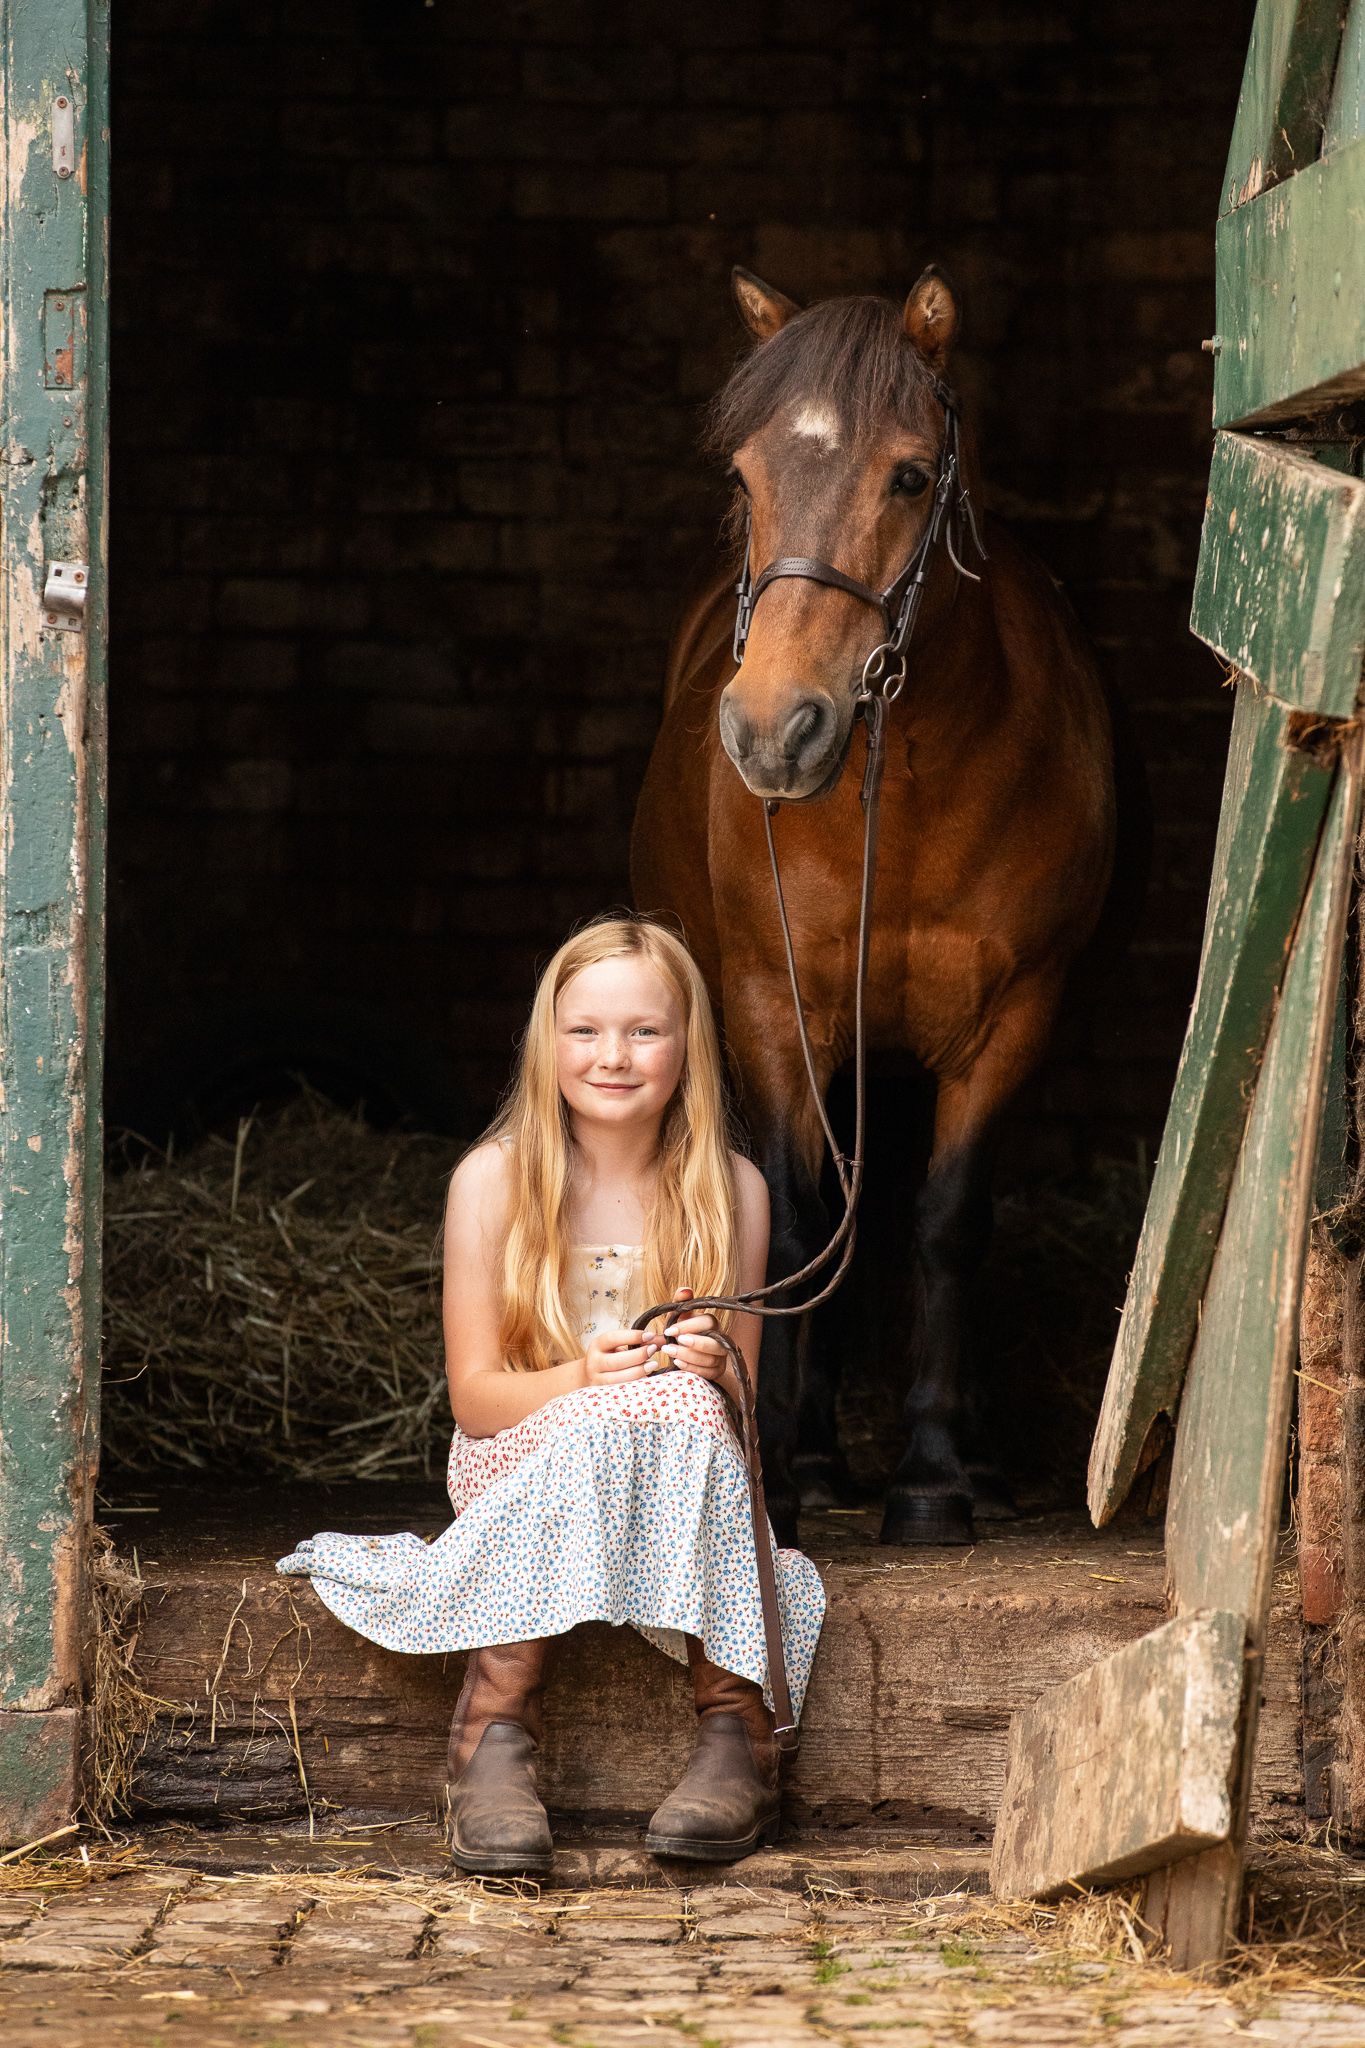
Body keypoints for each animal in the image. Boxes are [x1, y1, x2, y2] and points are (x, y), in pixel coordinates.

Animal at [630, 265, 1118, 1547]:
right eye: (742, 479)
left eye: (907, 475)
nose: (772, 730)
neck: (903, 790)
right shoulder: (770, 1007)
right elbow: (799, 1221)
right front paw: (780, 1471)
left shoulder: (1012, 1019)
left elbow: (949, 1221)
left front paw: (935, 1477)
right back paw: (810, 1453)